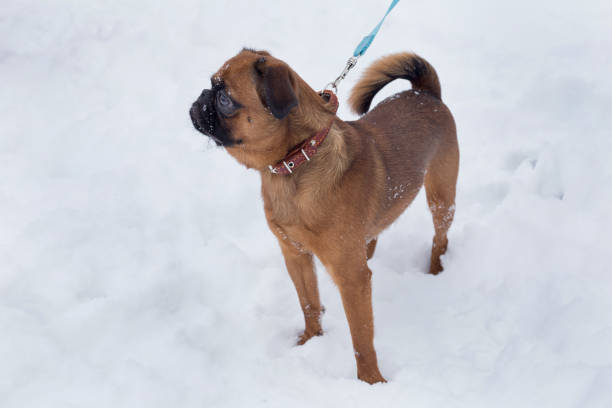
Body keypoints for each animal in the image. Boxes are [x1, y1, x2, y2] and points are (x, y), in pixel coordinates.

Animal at [189, 49, 456, 384]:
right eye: (211, 87)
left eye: (224, 99)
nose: (201, 97)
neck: (299, 160)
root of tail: (424, 92)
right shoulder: (295, 255)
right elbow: (310, 304)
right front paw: (311, 340)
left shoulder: (352, 280)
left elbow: (361, 338)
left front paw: (371, 382)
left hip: (441, 198)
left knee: (439, 239)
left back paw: (435, 271)